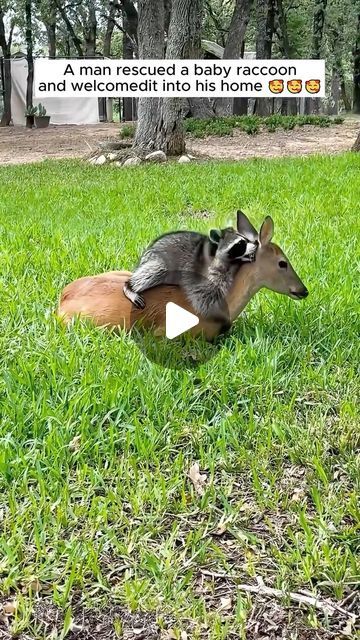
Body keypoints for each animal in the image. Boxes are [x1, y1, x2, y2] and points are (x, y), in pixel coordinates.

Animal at [124, 224, 258, 324]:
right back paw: (129, 286)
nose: (256, 244)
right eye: (240, 244)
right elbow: (202, 295)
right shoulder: (198, 271)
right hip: (160, 259)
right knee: (155, 271)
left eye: (245, 240)